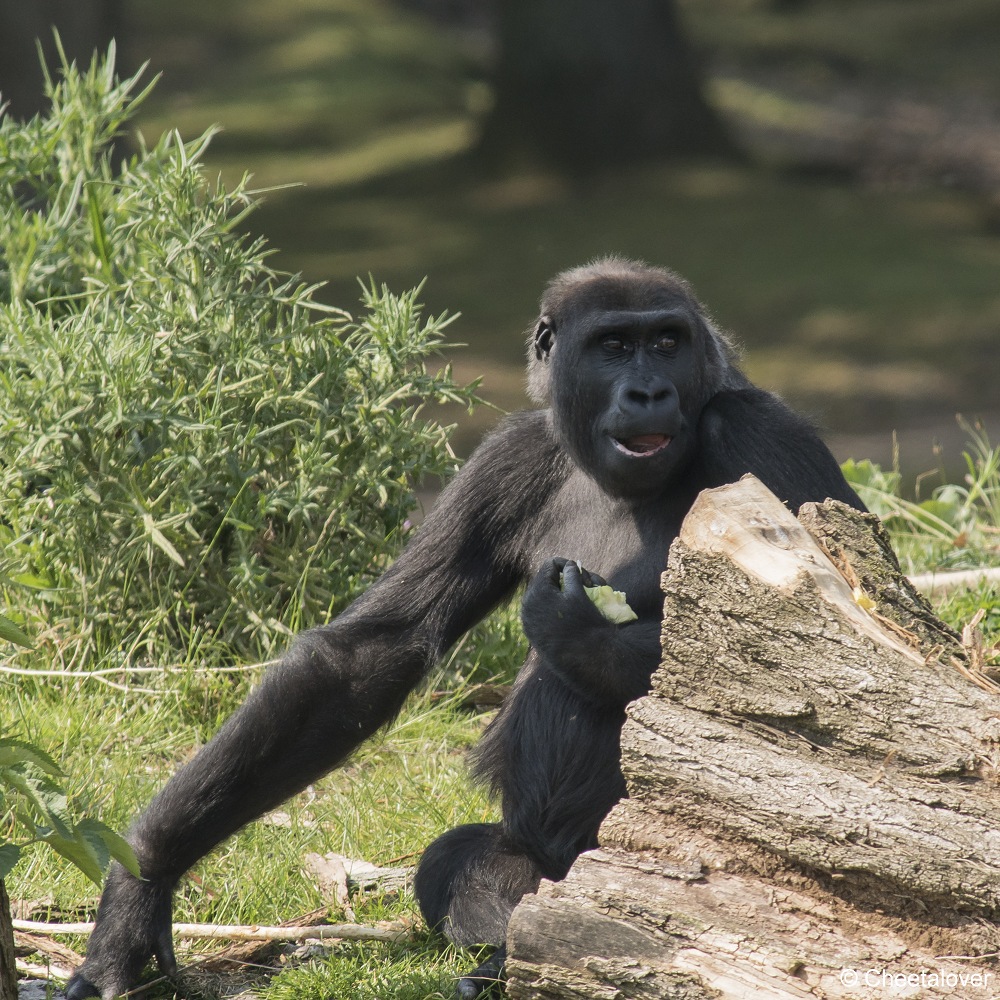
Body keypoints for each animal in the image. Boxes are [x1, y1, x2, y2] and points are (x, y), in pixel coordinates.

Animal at [66, 260, 864, 1000]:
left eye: (668, 342)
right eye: (615, 346)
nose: (649, 392)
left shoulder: (762, 431)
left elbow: (820, 656)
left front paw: (578, 633)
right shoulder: (509, 460)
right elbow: (368, 655)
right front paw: (142, 883)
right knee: (460, 864)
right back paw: (514, 947)